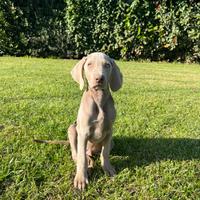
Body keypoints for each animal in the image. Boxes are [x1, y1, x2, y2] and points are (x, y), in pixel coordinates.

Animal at [68, 51, 122, 189]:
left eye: (107, 65)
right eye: (89, 64)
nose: (99, 78)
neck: (98, 98)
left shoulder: (109, 131)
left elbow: (105, 153)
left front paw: (107, 169)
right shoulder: (83, 133)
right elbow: (81, 158)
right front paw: (81, 179)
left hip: (111, 141)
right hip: (72, 129)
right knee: (79, 154)